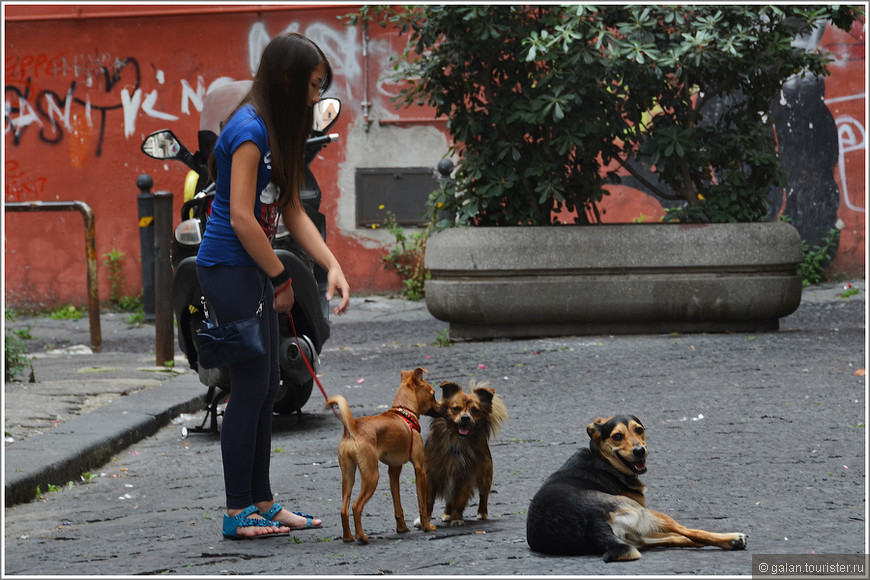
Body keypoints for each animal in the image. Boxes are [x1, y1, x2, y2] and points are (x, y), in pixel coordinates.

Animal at [326, 368, 442, 544]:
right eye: (433, 394)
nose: (443, 409)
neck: (404, 412)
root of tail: (353, 429)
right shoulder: (419, 469)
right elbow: (422, 503)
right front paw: (426, 526)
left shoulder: (394, 471)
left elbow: (397, 504)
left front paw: (402, 528)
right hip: (371, 476)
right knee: (356, 506)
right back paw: (361, 537)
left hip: (348, 477)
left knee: (344, 509)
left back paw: (348, 537)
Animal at [420, 380, 508, 524]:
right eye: (456, 408)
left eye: (475, 410)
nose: (466, 418)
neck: (457, 441)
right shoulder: (431, 475)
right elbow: (428, 500)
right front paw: (423, 521)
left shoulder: (466, 478)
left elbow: (460, 500)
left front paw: (456, 519)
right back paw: (447, 514)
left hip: (486, 475)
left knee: (483, 495)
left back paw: (482, 513)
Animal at [528, 416, 744, 560]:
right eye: (617, 436)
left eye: (639, 429)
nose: (640, 451)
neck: (603, 460)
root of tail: (591, 522)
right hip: (646, 512)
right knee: (687, 531)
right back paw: (733, 539)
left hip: (634, 535)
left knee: (672, 538)